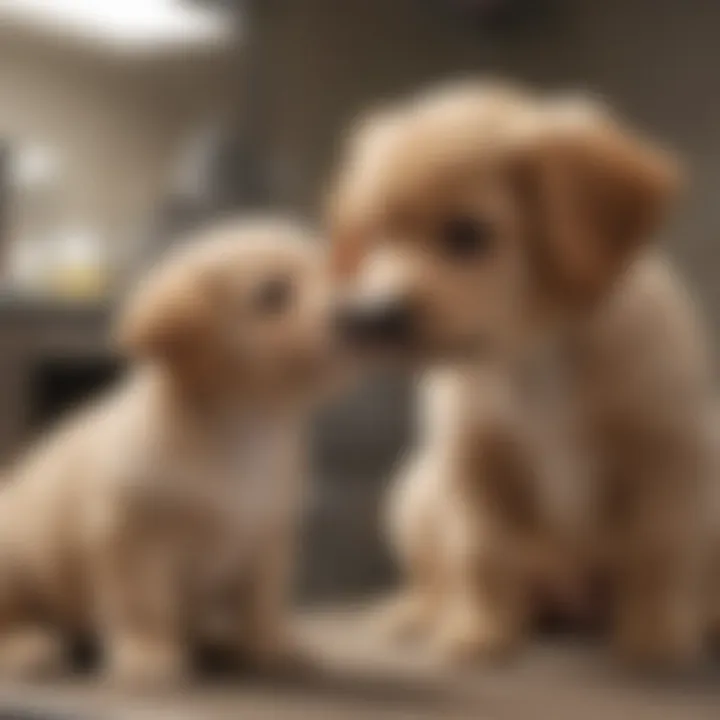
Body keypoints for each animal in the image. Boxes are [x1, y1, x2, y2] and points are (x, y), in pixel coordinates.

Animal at [0, 219, 334, 688]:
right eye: (272, 294)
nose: (365, 311)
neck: (242, 427)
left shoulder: (267, 543)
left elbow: (263, 604)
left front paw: (271, 645)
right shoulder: (133, 540)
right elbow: (146, 608)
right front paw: (148, 654)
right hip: (14, 563)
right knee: (14, 616)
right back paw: (25, 646)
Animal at [330, 80, 716, 668]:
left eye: (467, 234)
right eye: (374, 235)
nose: (371, 317)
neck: (532, 355)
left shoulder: (669, 455)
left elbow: (659, 552)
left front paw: (655, 636)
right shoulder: (472, 460)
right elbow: (483, 557)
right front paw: (479, 634)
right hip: (414, 491)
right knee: (436, 577)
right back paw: (418, 614)